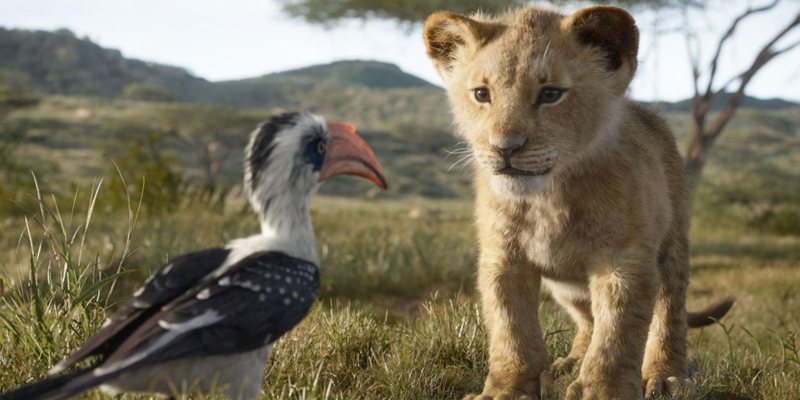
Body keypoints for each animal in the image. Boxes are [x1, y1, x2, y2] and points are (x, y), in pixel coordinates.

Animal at [423, 5, 733, 400]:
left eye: (551, 93)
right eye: (481, 94)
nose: (505, 148)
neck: (547, 197)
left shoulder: (623, 260)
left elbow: (617, 333)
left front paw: (604, 391)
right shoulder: (503, 258)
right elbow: (511, 329)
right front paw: (508, 389)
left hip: (672, 246)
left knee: (668, 311)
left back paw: (666, 376)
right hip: (566, 286)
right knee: (588, 319)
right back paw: (569, 364)